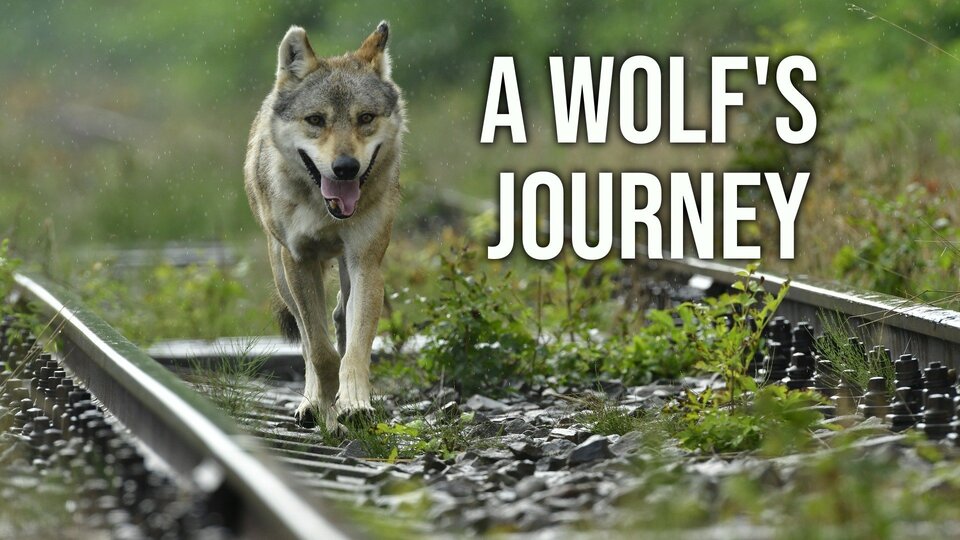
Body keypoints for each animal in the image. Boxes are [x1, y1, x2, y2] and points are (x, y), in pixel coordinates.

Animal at [244, 21, 404, 431]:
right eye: (316, 120)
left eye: (365, 118)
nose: (345, 168)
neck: (325, 211)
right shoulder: (299, 261)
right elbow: (319, 352)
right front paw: (325, 409)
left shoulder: (366, 263)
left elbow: (355, 351)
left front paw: (355, 404)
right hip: (282, 271)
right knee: (305, 337)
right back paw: (311, 404)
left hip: (347, 267)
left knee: (340, 318)